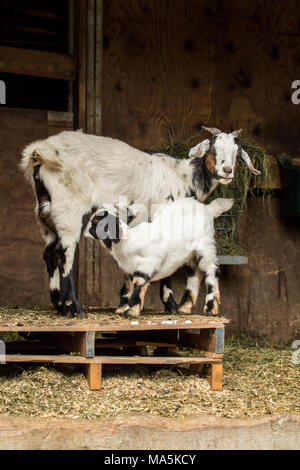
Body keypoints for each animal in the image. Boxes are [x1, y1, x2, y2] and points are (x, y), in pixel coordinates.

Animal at [20, 127, 260, 316]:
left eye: (237, 153)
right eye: (212, 149)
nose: (227, 171)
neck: (184, 177)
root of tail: (39, 152)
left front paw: (125, 302)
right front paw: (170, 305)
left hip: (46, 215)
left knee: (50, 254)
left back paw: (59, 305)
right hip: (69, 212)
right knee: (64, 256)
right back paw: (74, 307)